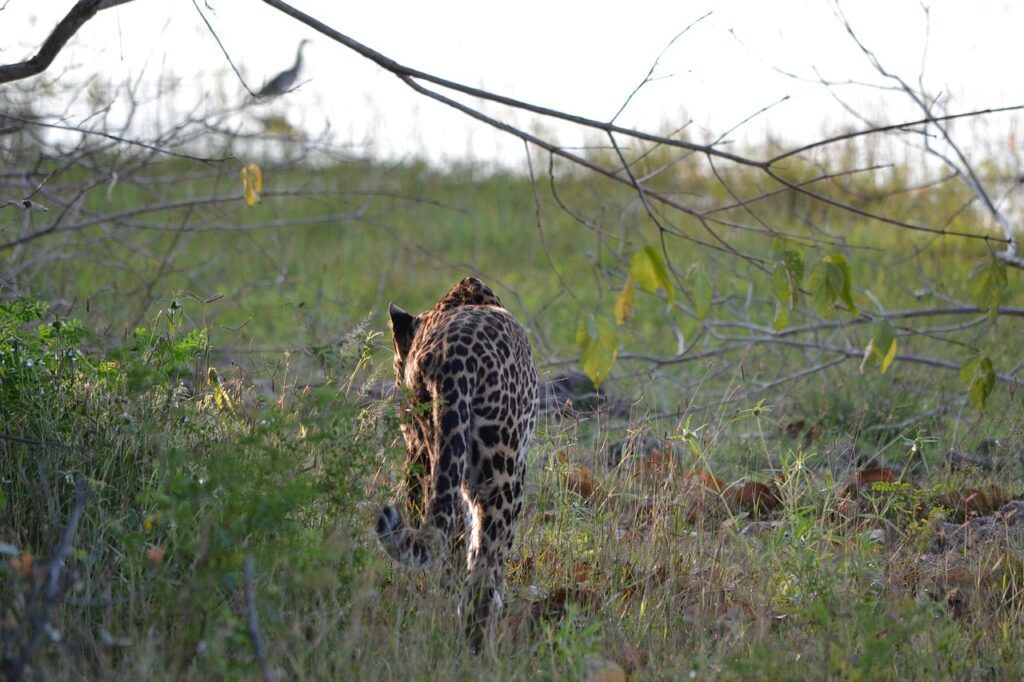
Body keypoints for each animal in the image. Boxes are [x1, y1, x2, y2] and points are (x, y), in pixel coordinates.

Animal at [374, 274, 536, 647]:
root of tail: (453, 361)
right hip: (502, 476)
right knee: (484, 570)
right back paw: (479, 646)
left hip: (438, 454)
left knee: (450, 542)